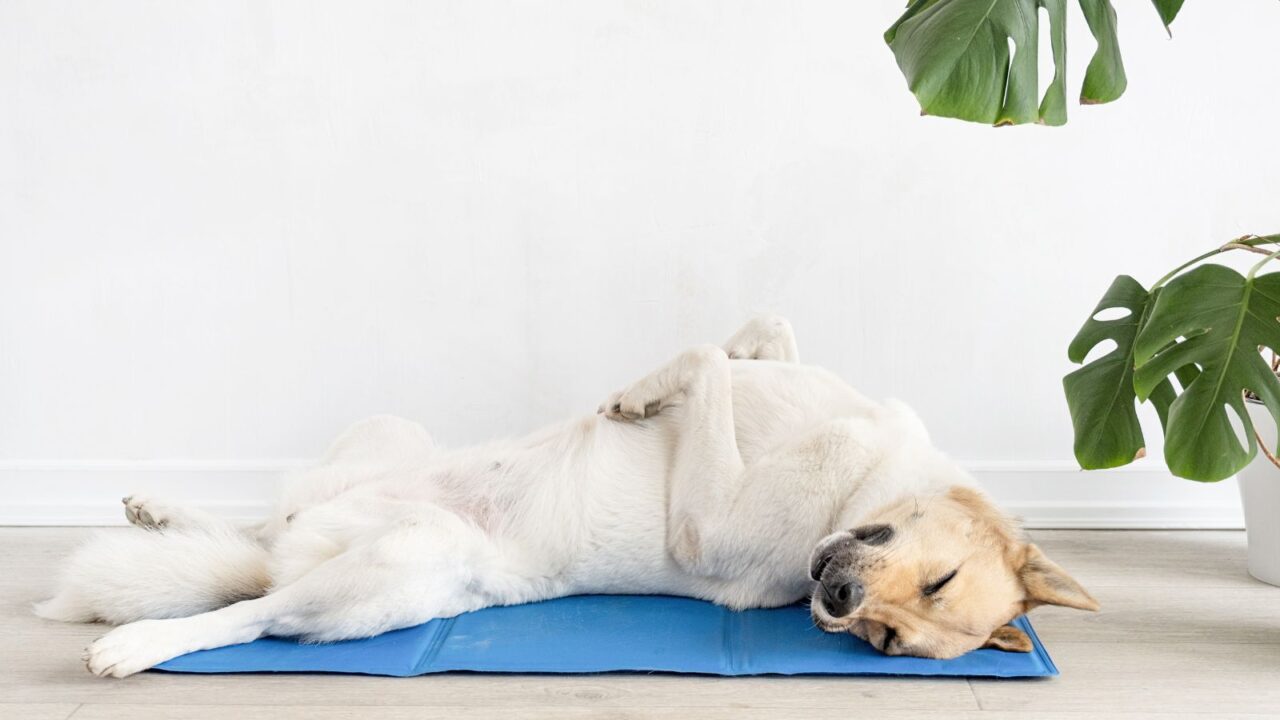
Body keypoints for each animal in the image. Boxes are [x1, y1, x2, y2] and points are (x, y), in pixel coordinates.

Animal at [40, 313, 1100, 671]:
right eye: (935, 584)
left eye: (887, 639)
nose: (835, 603)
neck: (874, 477)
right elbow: (753, 335)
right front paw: (655, 388)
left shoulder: (709, 526)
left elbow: (706, 358)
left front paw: (643, 391)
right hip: (388, 437)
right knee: (261, 532)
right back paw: (163, 513)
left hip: (400, 564)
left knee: (254, 609)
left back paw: (139, 644)